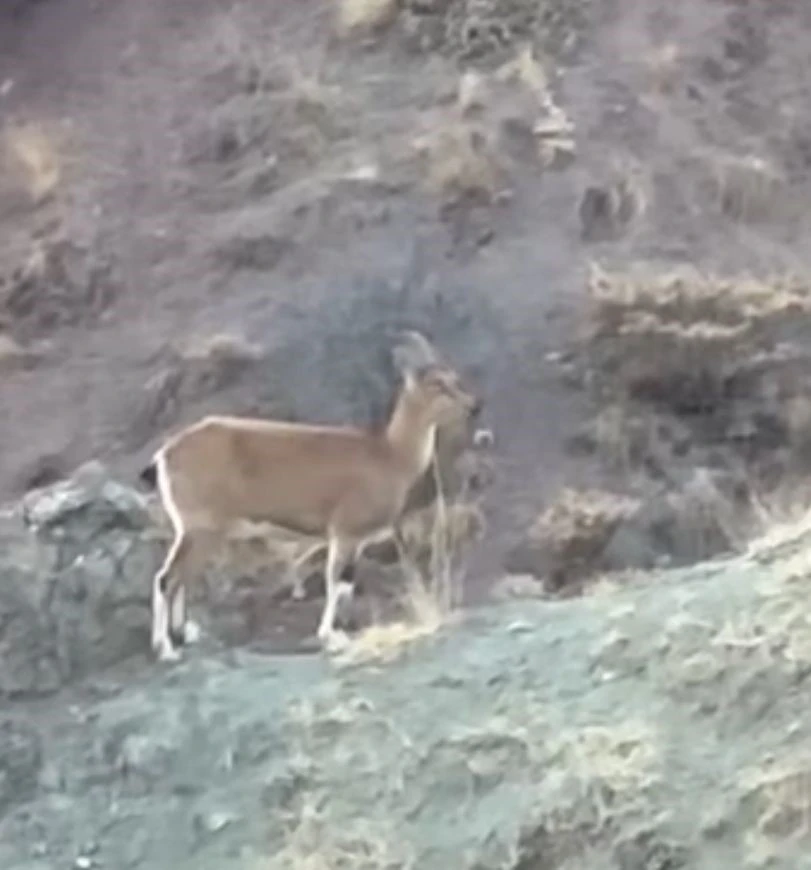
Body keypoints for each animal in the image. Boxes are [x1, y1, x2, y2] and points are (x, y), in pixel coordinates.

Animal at [141, 332, 482, 660]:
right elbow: (335, 581)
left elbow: (346, 585)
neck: (388, 455)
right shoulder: (344, 533)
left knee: (179, 578)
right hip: (200, 529)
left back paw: (185, 634)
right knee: (166, 579)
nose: (475, 406)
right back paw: (166, 649)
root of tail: (164, 455)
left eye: (454, 378)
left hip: (197, 533)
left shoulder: (356, 542)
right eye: (437, 384)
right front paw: (330, 637)